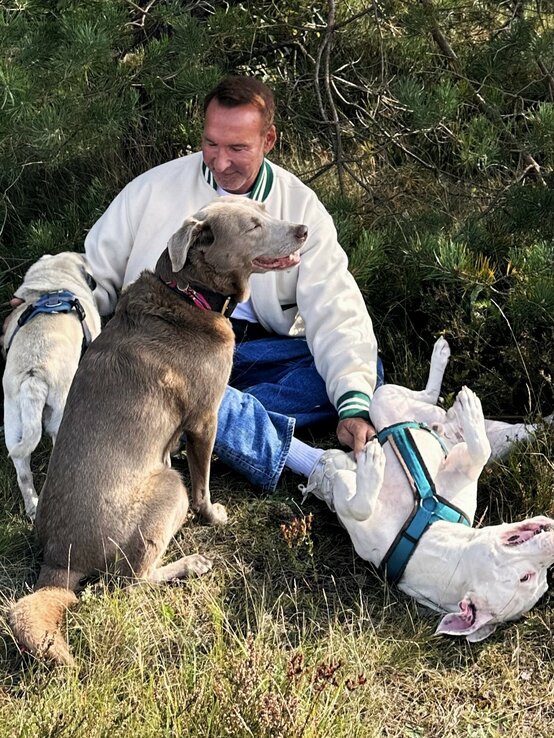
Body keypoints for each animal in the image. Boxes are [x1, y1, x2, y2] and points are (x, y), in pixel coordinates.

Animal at [2, 253, 100, 516]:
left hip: (14, 424)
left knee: (23, 474)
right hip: (59, 415)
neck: (52, 286)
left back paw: (33, 507)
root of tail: (33, 378)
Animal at [304, 338, 548, 640]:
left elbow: (359, 504)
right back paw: (451, 377)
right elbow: (479, 451)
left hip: (388, 402)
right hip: (389, 399)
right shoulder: (459, 468)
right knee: (430, 399)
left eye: (531, 577)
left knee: (431, 400)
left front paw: (370, 466)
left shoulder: (346, 499)